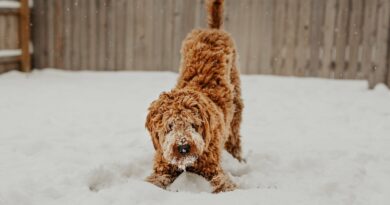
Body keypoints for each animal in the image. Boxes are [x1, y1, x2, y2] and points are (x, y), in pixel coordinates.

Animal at [146, 0, 244, 193]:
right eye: (169, 125)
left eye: (193, 124)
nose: (183, 147)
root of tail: (213, 30)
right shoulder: (163, 165)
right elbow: (154, 180)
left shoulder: (212, 167)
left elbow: (223, 182)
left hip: (236, 104)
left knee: (234, 135)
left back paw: (238, 158)